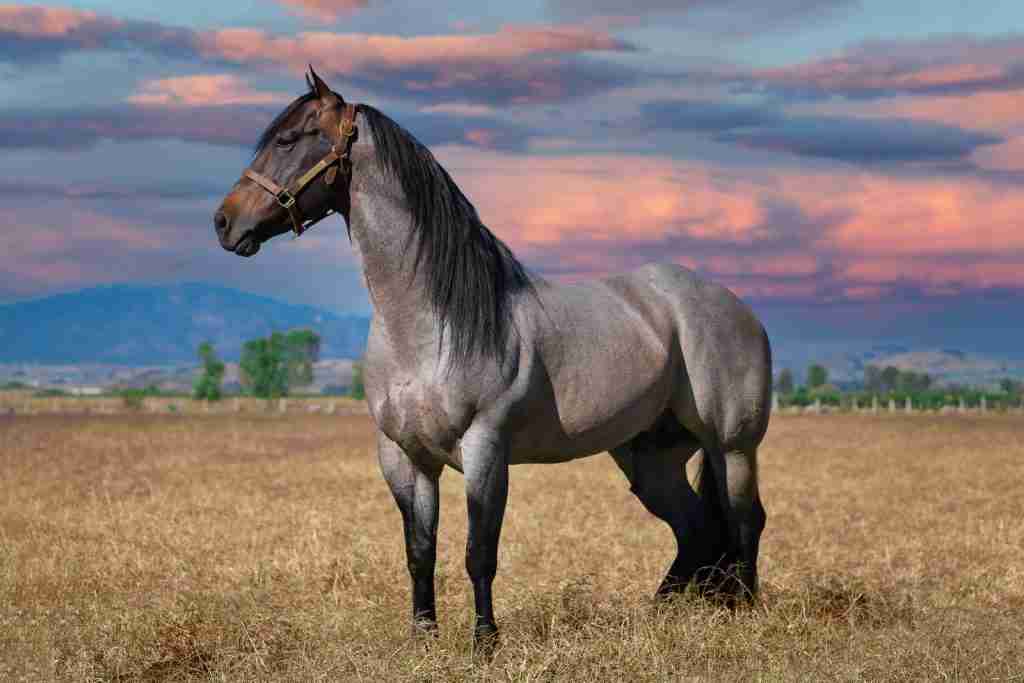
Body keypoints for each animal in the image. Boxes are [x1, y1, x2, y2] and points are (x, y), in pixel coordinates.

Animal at [218, 69, 774, 651]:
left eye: (288, 140)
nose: (225, 222)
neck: (427, 325)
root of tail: (736, 307)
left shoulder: (485, 450)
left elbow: (478, 554)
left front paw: (484, 642)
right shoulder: (404, 457)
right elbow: (419, 552)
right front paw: (423, 636)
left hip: (732, 446)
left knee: (744, 520)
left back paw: (744, 613)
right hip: (649, 457)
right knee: (694, 530)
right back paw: (659, 613)